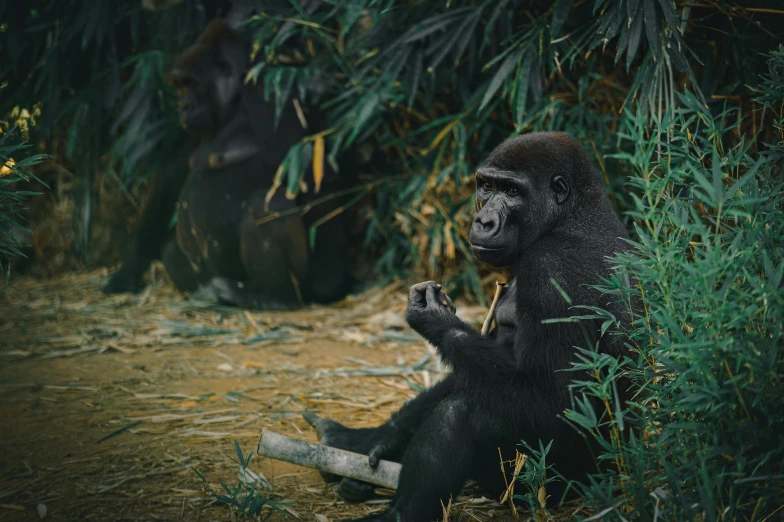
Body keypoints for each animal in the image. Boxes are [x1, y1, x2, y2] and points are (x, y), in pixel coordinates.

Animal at [103, 18, 350, 306]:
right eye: (180, 86)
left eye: (191, 84)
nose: (182, 106)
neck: (236, 99)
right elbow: (170, 178)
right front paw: (130, 268)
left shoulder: (271, 94)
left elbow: (310, 176)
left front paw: (330, 280)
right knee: (173, 250)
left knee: (265, 204)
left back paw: (275, 298)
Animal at [306, 132, 636, 516]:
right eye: (487, 186)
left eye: (511, 191)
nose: (482, 222)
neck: (571, 217)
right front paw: (384, 437)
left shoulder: (552, 270)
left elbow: (555, 406)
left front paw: (435, 319)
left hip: (558, 484)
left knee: (462, 414)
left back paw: (401, 513)